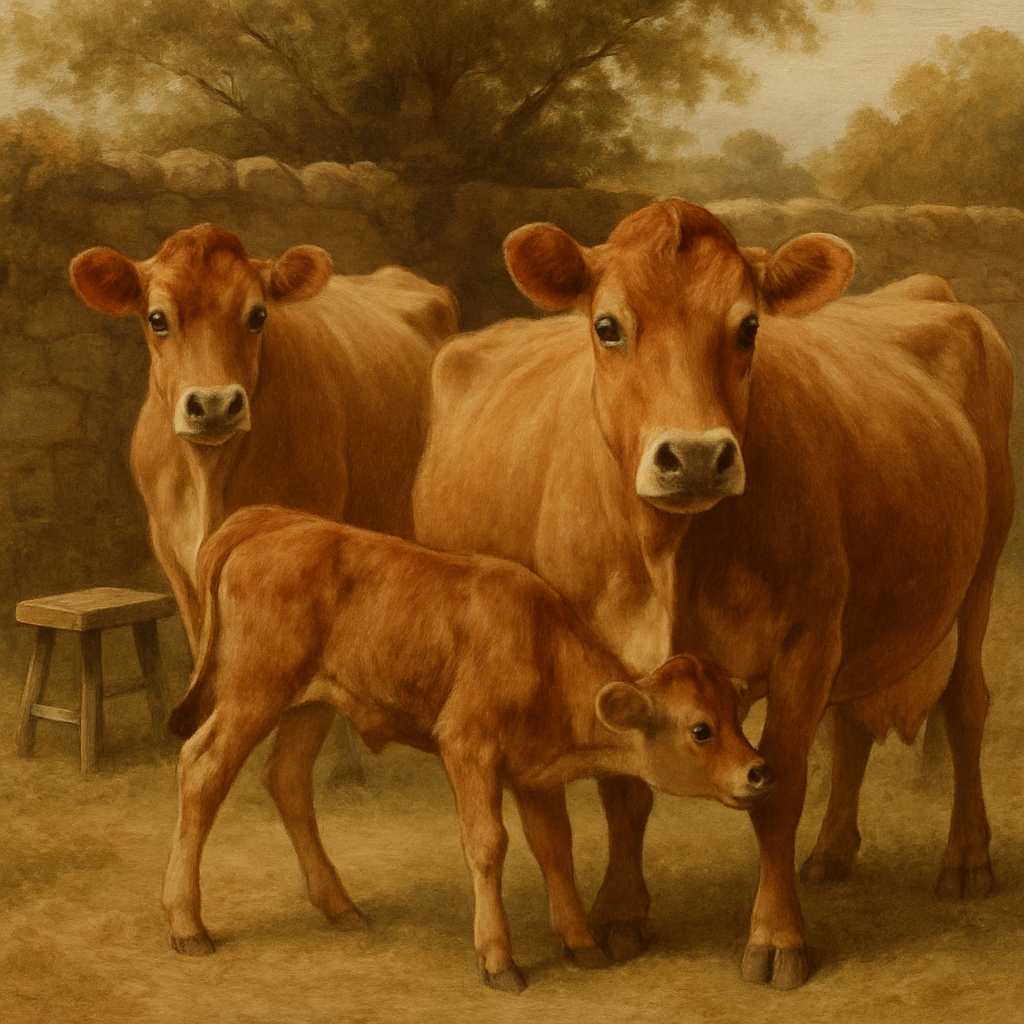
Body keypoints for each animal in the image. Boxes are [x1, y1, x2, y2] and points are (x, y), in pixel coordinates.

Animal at [69, 222, 457, 776]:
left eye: (258, 315)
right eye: (157, 318)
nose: (213, 404)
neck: (211, 480)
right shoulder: (176, 559)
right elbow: (209, 652)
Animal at [161, 504, 775, 992]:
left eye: (737, 714)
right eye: (700, 729)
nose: (759, 771)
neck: (543, 651)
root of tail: (273, 521)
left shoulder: (533, 772)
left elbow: (555, 847)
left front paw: (582, 943)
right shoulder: (467, 746)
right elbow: (488, 843)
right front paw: (499, 960)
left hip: (311, 703)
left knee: (286, 778)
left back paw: (341, 907)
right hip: (255, 690)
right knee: (203, 767)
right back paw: (187, 925)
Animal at [412, 199, 1015, 988]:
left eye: (749, 325)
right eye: (608, 326)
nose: (697, 455)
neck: (670, 555)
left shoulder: (806, 640)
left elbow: (780, 789)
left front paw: (777, 936)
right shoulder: (608, 658)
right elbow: (625, 791)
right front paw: (620, 914)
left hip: (984, 562)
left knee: (966, 702)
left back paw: (967, 857)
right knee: (853, 722)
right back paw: (832, 853)